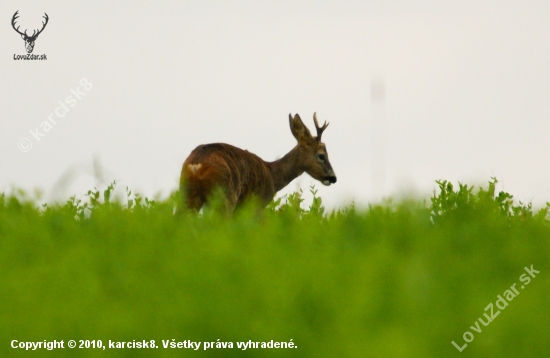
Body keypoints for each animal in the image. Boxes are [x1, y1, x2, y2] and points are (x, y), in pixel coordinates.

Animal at [179, 112, 338, 213]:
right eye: (322, 156)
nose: (333, 178)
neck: (273, 176)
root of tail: (196, 165)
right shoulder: (257, 204)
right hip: (224, 197)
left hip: (188, 194)